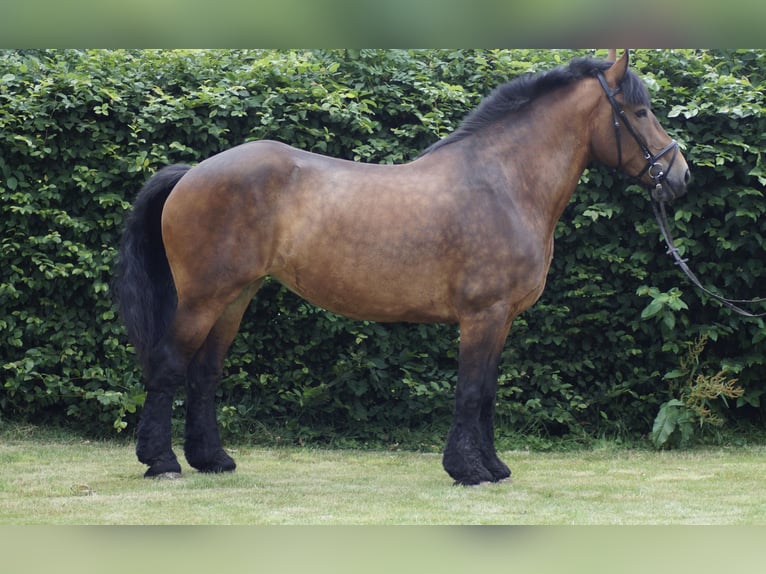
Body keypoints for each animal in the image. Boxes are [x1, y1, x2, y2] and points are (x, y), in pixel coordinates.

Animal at [114, 50, 690, 485]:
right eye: (639, 112)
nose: (681, 175)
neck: (503, 182)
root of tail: (194, 172)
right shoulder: (483, 315)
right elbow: (472, 390)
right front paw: (468, 471)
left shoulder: (500, 319)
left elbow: (487, 393)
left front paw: (493, 466)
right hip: (203, 297)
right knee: (169, 365)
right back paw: (162, 462)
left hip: (235, 297)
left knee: (205, 373)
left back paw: (213, 460)